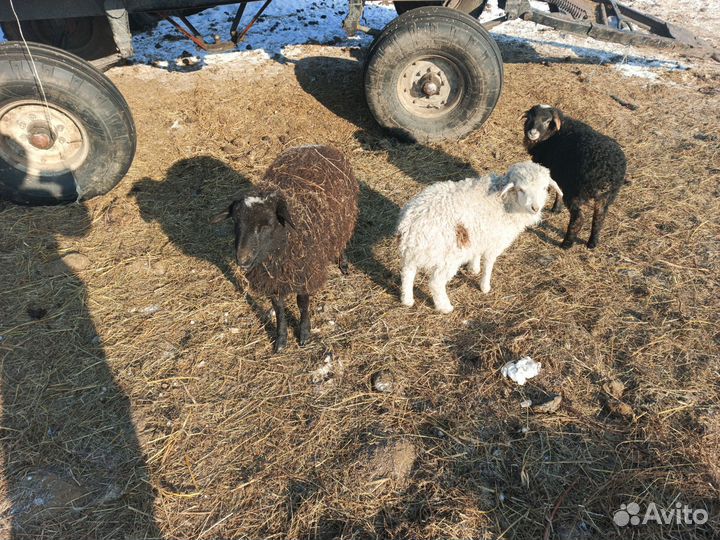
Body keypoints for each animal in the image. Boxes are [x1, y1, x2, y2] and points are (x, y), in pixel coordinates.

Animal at [217, 145, 359, 352]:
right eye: (235, 221)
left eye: (267, 224)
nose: (242, 260)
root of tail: (318, 146)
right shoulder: (273, 279)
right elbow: (278, 308)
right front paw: (281, 340)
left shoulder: (305, 273)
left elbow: (302, 304)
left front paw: (304, 333)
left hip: (343, 223)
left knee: (341, 241)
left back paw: (343, 263)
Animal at [397, 161, 562, 313]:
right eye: (521, 189)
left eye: (544, 188)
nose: (535, 208)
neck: (505, 201)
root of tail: (412, 223)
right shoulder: (494, 242)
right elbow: (488, 264)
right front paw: (485, 286)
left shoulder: (479, 234)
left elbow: (476, 252)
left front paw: (473, 268)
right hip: (448, 256)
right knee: (435, 283)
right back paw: (445, 307)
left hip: (414, 252)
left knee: (407, 272)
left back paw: (407, 300)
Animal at [521, 104, 627, 249]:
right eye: (530, 117)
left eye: (547, 121)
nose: (532, 133)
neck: (553, 135)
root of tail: (608, 175)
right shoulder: (559, 173)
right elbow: (558, 191)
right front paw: (556, 209)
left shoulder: (548, 169)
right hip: (606, 196)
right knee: (599, 217)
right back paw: (592, 243)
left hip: (576, 191)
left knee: (578, 218)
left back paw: (566, 244)